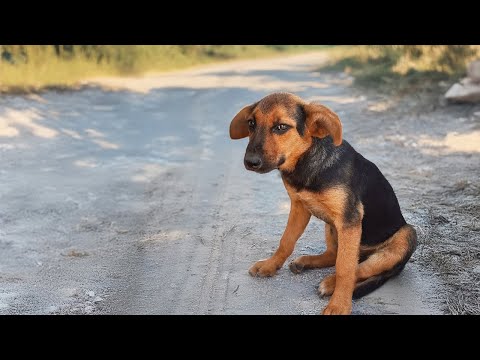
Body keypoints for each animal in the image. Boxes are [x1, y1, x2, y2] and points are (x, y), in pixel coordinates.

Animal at [229, 93, 416, 316]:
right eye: (251, 123)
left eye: (281, 127)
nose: (250, 162)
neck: (307, 162)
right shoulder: (299, 207)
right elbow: (286, 241)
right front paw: (270, 265)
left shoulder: (350, 220)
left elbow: (345, 268)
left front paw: (339, 305)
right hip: (331, 226)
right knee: (335, 255)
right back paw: (305, 262)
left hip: (406, 235)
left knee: (358, 267)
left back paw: (330, 284)